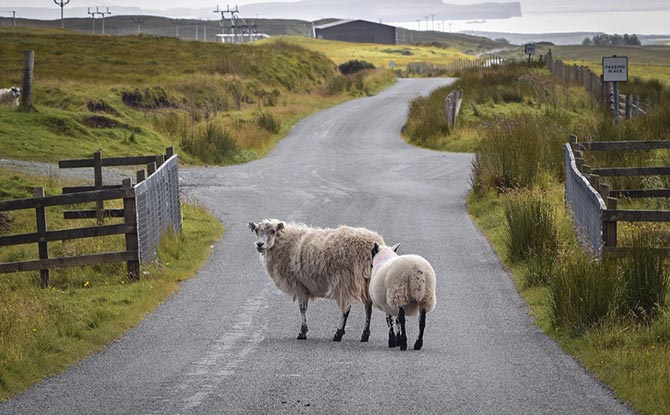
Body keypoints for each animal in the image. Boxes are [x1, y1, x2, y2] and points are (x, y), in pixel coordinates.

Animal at [248, 219, 386, 342]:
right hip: (366, 281)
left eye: (273, 231)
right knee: (368, 307)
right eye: (256, 230)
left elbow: (302, 308)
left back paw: (338, 334)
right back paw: (365, 335)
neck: (286, 242)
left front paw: (302, 332)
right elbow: (304, 308)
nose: (259, 244)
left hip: (345, 280)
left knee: (346, 309)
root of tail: (373, 242)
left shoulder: (299, 285)